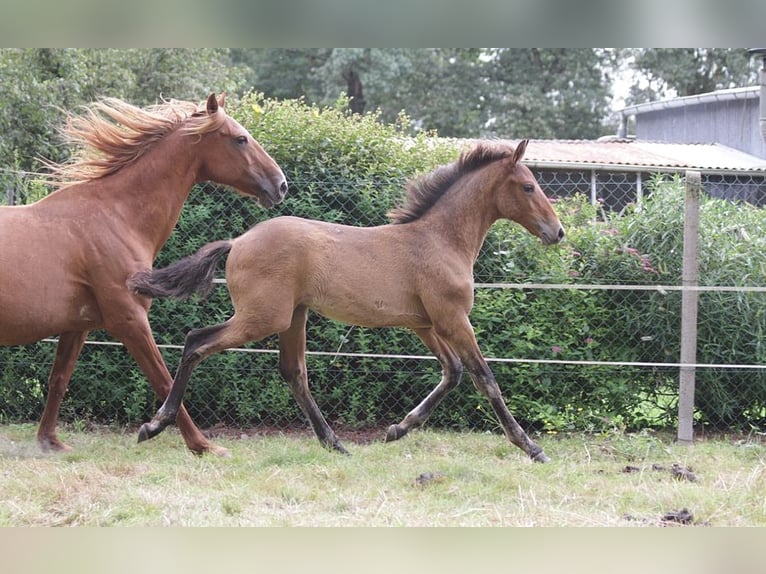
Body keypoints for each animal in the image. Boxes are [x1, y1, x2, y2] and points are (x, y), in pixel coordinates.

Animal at [0, 92, 288, 456]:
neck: (116, 217)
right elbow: (164, 380)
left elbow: (59, 379)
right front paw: (197, 444)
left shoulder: (77, 325)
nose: (281, 185)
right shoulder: (129, 319)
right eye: (240, 138)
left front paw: (49, 442)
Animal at [130, 140, 564, 464]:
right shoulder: (453, 318)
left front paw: (397, 429)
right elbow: (483, 377)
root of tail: (238, 241)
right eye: (528, 186)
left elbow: (452, 371)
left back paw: (334, 443)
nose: (557, 232)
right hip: (263, 317)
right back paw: (154, 425)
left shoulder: (425, 323)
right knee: (196, 341)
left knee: (294, 372)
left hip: (293, 317)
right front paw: (531, 447)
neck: (440, 239)